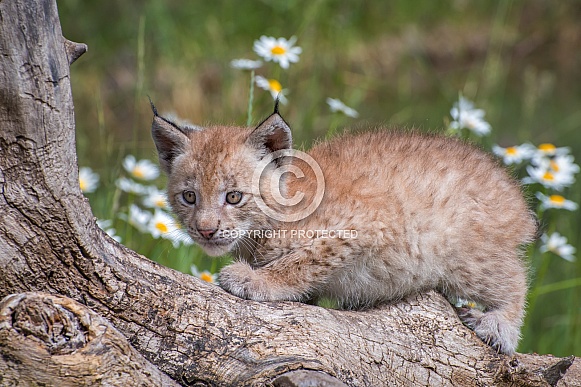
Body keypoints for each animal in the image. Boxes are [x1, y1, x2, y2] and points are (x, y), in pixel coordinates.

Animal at [150, 102, 536, 354]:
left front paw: (257, 280)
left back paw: (501, 326)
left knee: (516, 278)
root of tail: (511, 190)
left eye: (233, 197)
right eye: (189, 197)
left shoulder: (367, 225)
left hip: (462, 256)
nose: (205, 230)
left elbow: (303, 260)